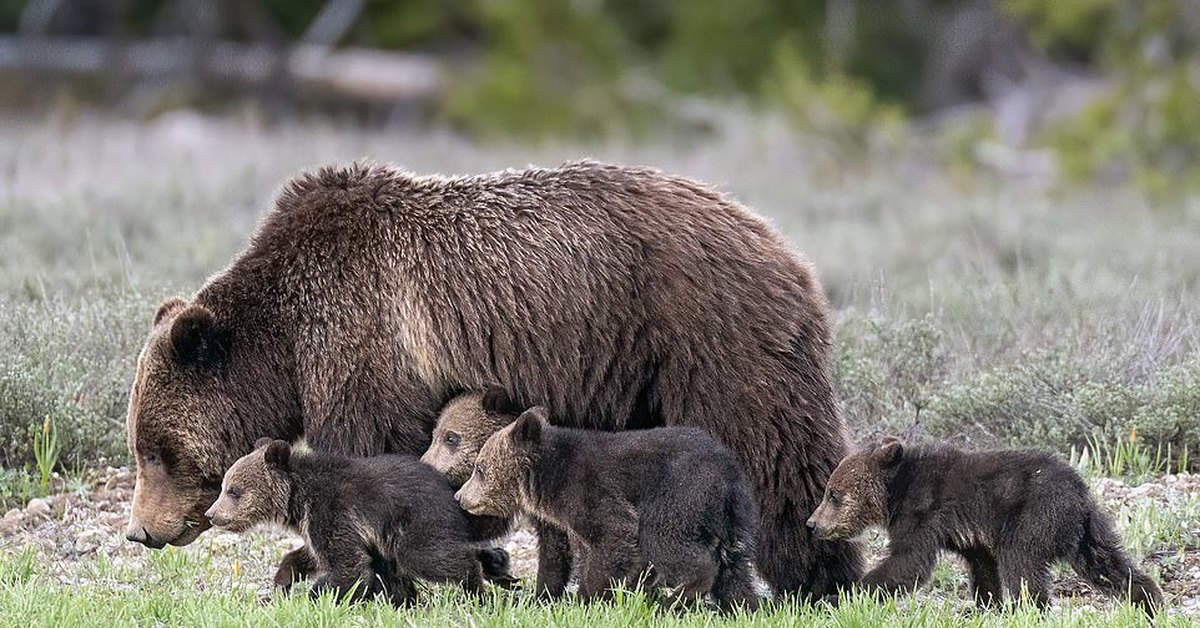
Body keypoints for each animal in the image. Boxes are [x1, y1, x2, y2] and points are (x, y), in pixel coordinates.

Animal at [207, 437, 516, 605]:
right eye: (224, 486)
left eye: (234, 491)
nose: (212, 514)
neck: (299, 498)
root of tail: (455, 496)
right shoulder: (320, 524)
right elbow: (310, 554)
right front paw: (283, 580)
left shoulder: (334, 511)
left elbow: (349, 565)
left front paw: (317, 596)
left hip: (415, 522)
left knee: (430, 556)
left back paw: (476, 585)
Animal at [456, 405, 758, 612]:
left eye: (479, 469)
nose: (460, 496)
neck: (547, 480)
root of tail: (730, 471)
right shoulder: (567, 521)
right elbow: (565, 553)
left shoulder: (590, 490)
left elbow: (614, 536)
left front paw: (589, 598)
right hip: (729, 518)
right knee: (734, 566)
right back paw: (742, 606)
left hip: (680, 494)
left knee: (667, 540)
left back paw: (674, 601)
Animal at [806, 437, 1161, 614]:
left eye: (833, 494)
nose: (812, 523)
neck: (895, 492)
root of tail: (1079, 490)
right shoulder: (968, 534)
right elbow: (982, 566)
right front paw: (985, 606)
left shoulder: (922, 514)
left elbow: (908, 562)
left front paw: (842, 595)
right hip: (1086, 530)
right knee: (1107, 563)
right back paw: (1148, 600)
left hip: (1033, 515)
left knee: (1021, 563)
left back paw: (1030, 610)